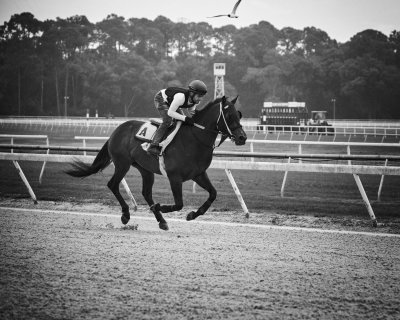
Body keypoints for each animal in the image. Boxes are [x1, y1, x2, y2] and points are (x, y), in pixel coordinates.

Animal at [65, 95, 247, 230]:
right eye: (229, 116)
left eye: (239, 115)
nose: (242, 138)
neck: (194, 139)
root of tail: (117, 130)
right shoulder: (174, 177)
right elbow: (179, 204)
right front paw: (161, 208)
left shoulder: (199, 174)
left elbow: (213, 194)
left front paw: (192, 214)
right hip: (122, 163)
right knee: (113, 184)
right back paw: (126, 215)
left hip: (145, 169)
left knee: (146, 192)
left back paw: (161, 221)